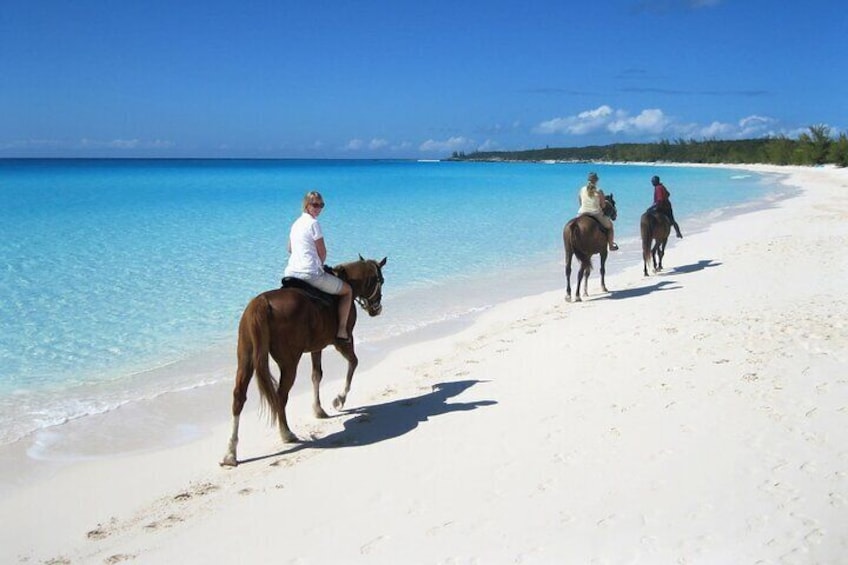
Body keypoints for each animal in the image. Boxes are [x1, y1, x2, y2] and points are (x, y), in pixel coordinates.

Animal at [222, 256, 388, 468]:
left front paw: (318, 409)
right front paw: (339, 400)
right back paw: (286, 433)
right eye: (380, 280)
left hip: (245, 359)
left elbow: (316, 375)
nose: (377, 308)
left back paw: (231, 452)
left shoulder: (317, 347)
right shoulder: (343, 341)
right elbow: (353, 363)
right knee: (280, 396)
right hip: (289, 362)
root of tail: (261, 303)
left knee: (239, 397)